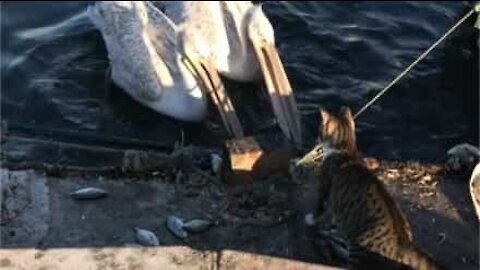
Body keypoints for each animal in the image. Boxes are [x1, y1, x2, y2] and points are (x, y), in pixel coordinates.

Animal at [296, 106, 442, 270]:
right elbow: (333, 217)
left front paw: (311, 220)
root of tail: (403, 242)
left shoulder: (323, 189)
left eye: (320, 130)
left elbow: (318, 209)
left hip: (359, 250)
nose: (317, 139)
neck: (346, 149)